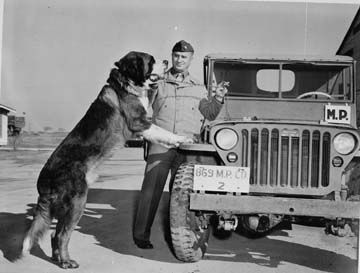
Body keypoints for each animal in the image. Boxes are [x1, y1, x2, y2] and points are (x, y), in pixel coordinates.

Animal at [21, 51, 193, 268]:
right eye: (150, 61)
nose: (165, 61)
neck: (128, 84)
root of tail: (43, 181)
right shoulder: (140, 123)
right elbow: (164, 132)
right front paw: (182, 139)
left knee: (55, 234)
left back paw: (58, 259)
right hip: (77, 202)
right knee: (61, 235)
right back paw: (67, 262)